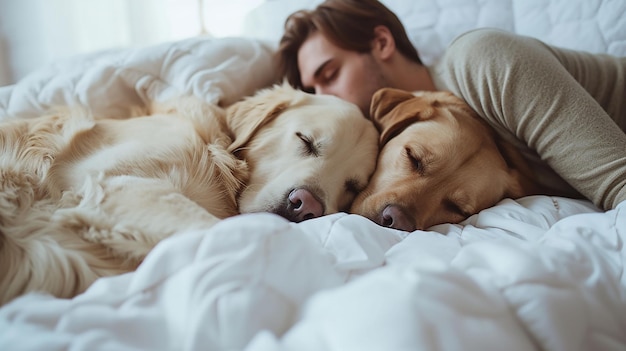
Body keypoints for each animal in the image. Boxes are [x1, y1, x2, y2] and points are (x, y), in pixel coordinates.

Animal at [0, 85, 378, 306]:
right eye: (305, 141)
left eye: (352, 187)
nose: (305, 206)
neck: (214, 155)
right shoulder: (113, 184)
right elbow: (223, 231)